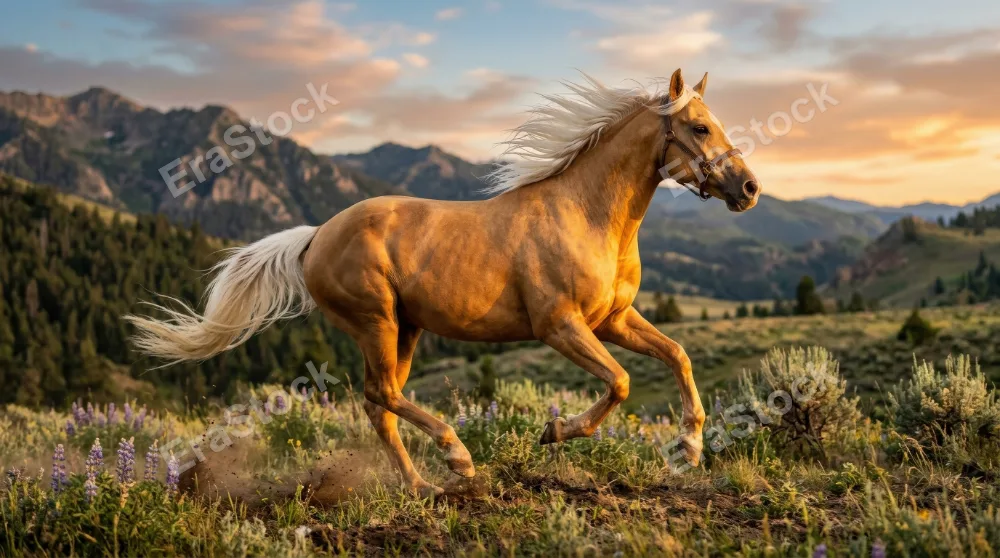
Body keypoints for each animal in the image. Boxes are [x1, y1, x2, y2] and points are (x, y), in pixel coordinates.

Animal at [125, 69, 761, 496]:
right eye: (699, 127)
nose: (749, 188)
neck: (586, 214)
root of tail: (315, 237)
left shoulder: (614, 320)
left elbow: (676, 355)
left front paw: (690, 448)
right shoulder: (560, 326)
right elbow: (623, 383)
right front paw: (554, 431)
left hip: (404, 330)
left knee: (379, 406)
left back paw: (422, 487)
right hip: (377, 322)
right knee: (384, 396)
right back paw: (457, 459)